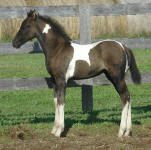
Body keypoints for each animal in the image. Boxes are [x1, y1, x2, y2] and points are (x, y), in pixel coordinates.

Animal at [12, 9, 141, 138]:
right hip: (113, 77)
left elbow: (61, 101)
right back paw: (128, 131)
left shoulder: (61, 80)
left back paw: (121, 131)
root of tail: (123, 46)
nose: (14, 43)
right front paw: (54, 129)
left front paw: (59, 131)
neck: (58, 49)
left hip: (117, 77)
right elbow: (56, 101)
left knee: (125, 97)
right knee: (127, 97)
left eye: (26, 26)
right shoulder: (54, 80)